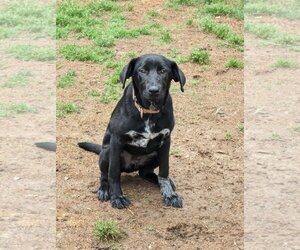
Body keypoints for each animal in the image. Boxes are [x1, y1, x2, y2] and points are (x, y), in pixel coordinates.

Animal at [79, 53, 188, 209]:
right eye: (142, 71)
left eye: (163, 71)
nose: (153, 90)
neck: (148, 112)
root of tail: (132, 165)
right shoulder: (116, 140)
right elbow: (113, 173)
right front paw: (117, 196)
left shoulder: (166, 140)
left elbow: (164, 171)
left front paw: (170, 194)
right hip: (106, 151)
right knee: (105, 174)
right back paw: (104, 190)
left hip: (155, 155)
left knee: (144, 172)